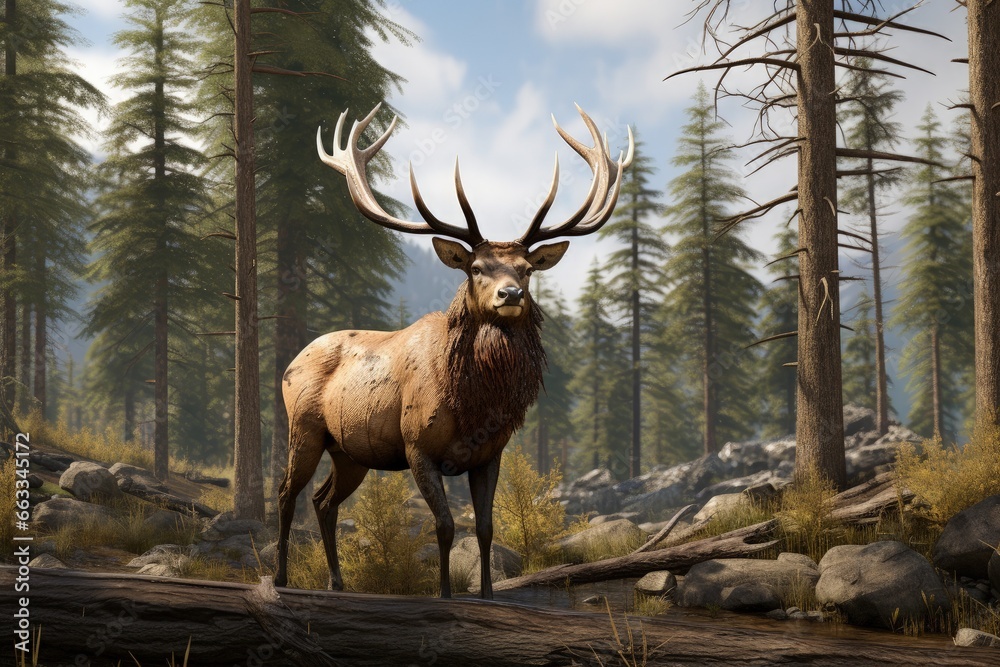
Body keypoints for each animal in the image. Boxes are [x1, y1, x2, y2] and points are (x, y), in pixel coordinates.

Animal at [273, 103, 633, 599]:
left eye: (526, 269)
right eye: (476, 267)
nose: (510, 294)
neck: (474, 403)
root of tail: (291, 361)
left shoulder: (490, 455)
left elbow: (484, 529)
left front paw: (486, 594)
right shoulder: (417, 447)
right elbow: (444, 526)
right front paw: (444, 593)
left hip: (351, 451)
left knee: (324, 500)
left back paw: (337, 582)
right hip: (304, 428)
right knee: (286, 494)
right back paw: (280, 578)